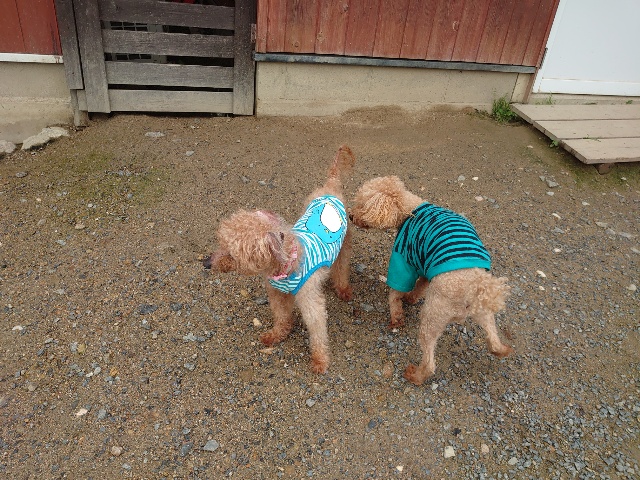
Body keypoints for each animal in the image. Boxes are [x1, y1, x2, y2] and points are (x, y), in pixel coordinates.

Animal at [202, 146, 355, 374]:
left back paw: (343, 288)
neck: (283, 267)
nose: (207, 263)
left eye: (231, 254)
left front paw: (320, 360)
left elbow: (317, 329)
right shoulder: (276, 293)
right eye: (220, 243)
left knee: (342, 265)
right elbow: (281, 316)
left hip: (344, 243)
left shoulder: (309, 299)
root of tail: (331, 183)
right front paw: (276, 335)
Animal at [349, 175, 513, 385]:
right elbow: (420, 287)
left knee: (429, 361)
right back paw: (502, 350)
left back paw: (415, 375)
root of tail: (474, 286)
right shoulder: (426, 266)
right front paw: (410, 299)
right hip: (483, 312)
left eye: (361, 205)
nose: (350, 216)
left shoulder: (404, 257)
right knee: (493, 338)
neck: (409, 209)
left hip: (433, 316)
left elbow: (396, 292)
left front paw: (397, 315)